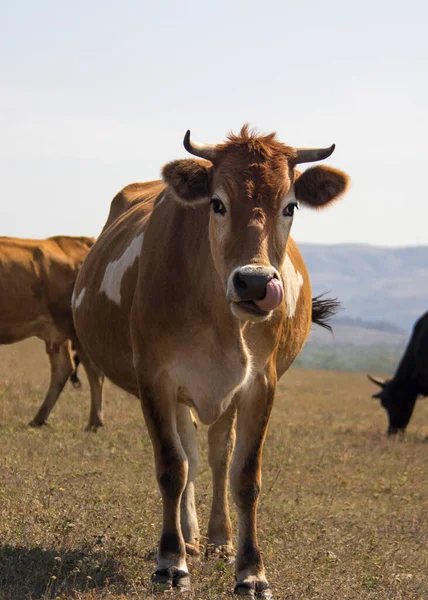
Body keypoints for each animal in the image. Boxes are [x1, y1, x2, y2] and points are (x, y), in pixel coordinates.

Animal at [0, 236, 104, 432]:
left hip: (75, 329)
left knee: (94, 371)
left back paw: (94, 422)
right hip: (56, 332)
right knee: (63, 369)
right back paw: (39, 419)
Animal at [72, 126, 348, 596]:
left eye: (290, 206)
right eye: (217, 203)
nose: (255, 283)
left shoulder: (260, 384)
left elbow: (245, 477)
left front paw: (251, 571)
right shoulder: (156, 381)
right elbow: (172, 467)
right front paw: (171, 562)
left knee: (219, 456)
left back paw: (219, 538)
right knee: (190, 457)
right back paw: (189, 539)